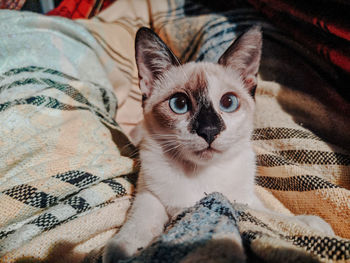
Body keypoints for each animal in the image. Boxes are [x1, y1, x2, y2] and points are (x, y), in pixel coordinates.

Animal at [102, 26, 334, 263]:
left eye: (228, 102)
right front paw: (123, 248)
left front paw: (311, 225)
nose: (209, 130)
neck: (201, 173)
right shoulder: (149, 193)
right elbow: (142, 218)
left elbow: (271, 215)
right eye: (179, 104)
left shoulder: (245, 200)